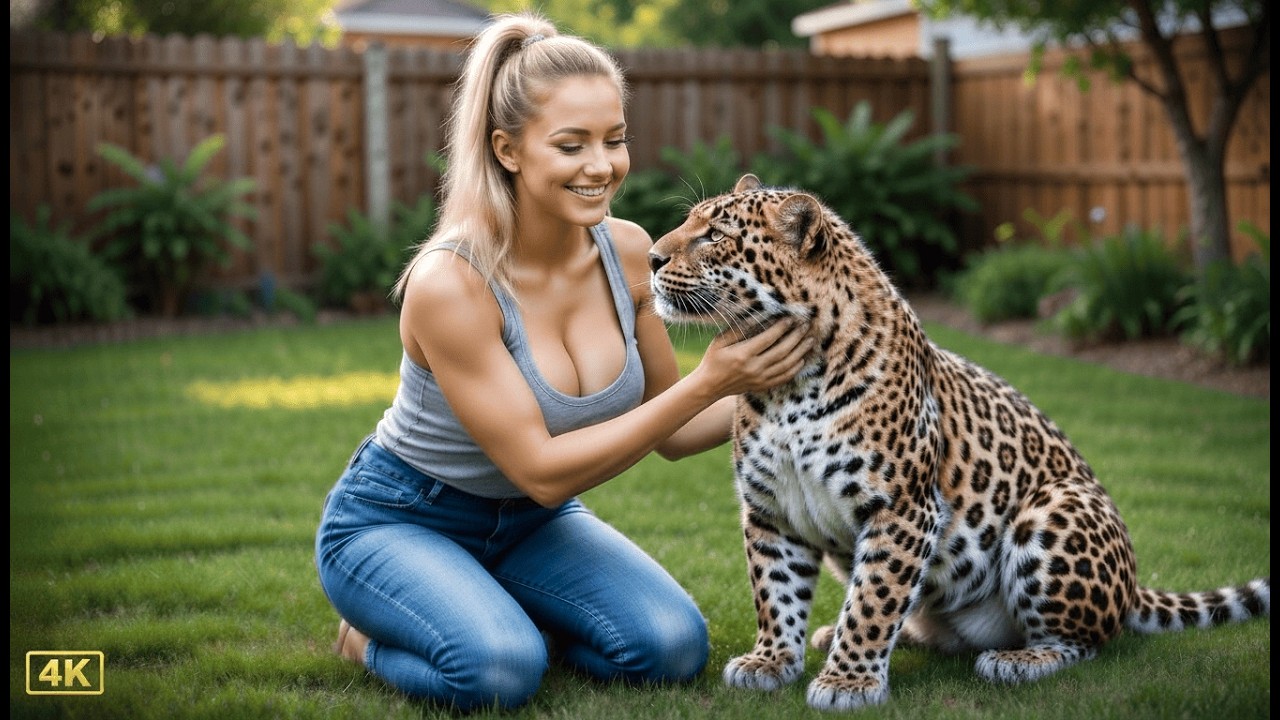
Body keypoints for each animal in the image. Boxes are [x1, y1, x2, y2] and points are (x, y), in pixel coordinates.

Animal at [647, 173, 1270, 712]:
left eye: (716, 234)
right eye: (690, 223)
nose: (651, 258)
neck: (786, 391)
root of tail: (1135, 587)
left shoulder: (902, 508)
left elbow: (873, 600)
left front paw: (848, 682)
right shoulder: (770, 508)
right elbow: (776, 591)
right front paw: (772, 661)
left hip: (1053, 509)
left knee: (1086, 642)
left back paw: (1020, 660)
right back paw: (843, 634)